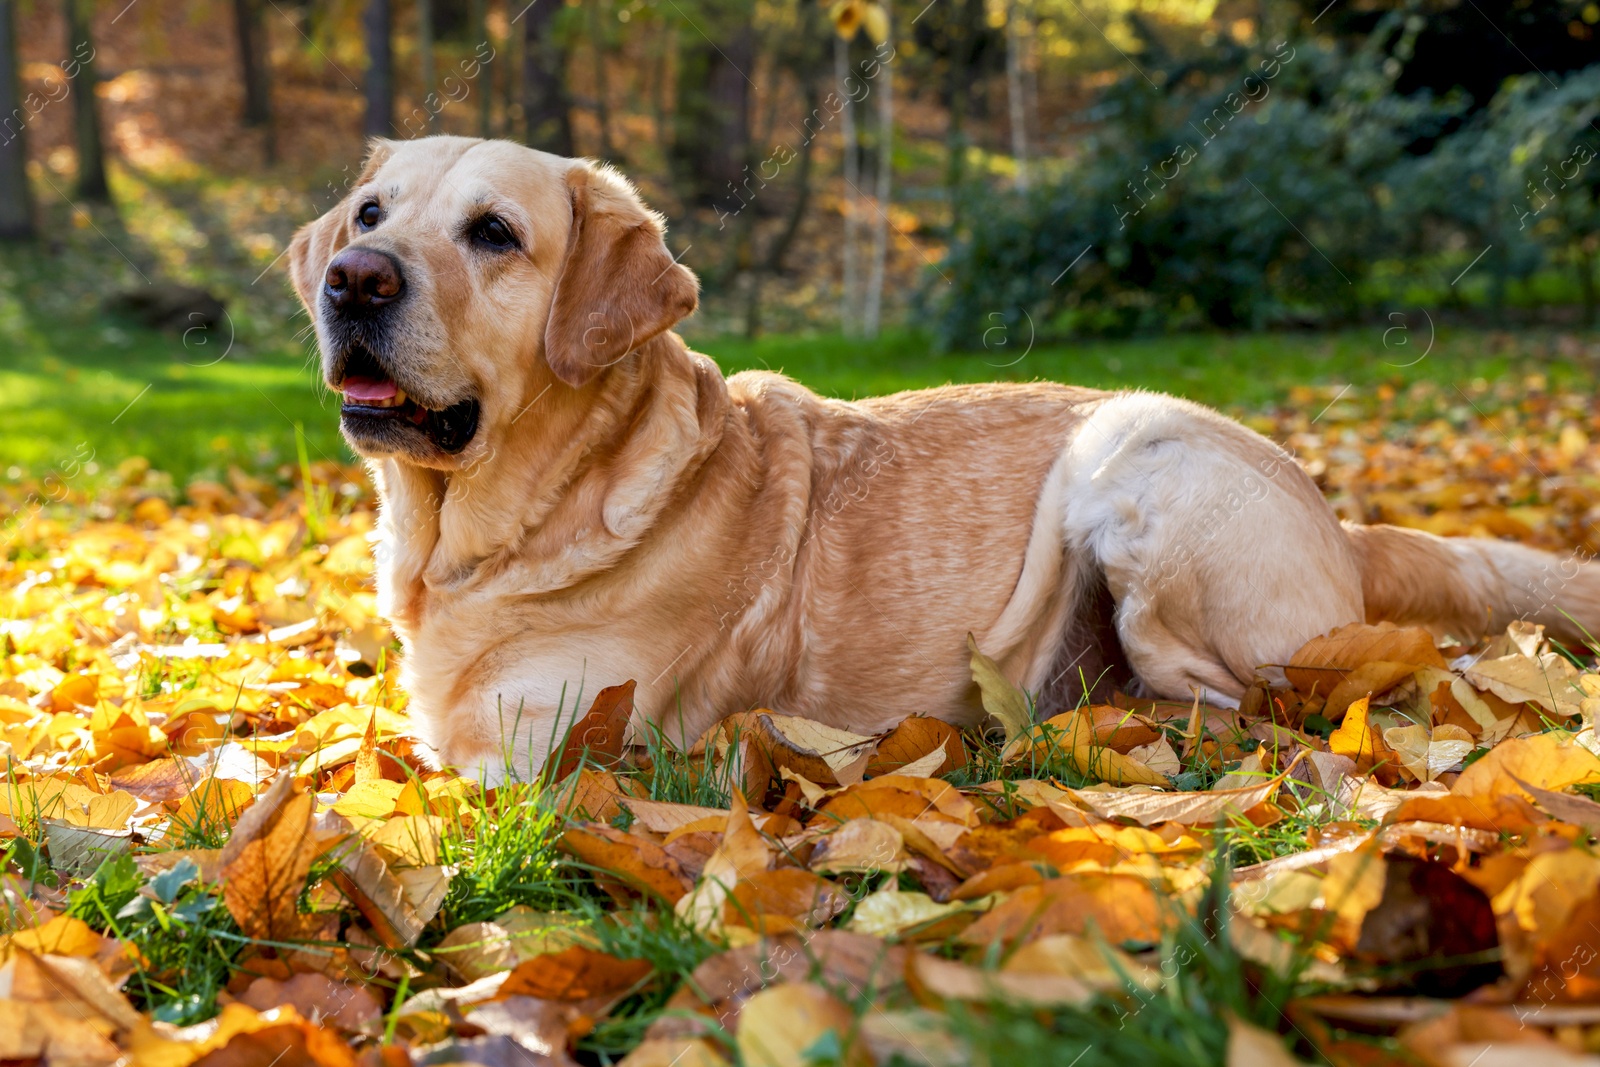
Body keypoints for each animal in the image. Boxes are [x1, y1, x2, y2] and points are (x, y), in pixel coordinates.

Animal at [291, 137, 1600, 780]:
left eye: (494, 234)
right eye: (370, 213)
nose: (352, 279)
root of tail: (1338, 518)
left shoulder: (544, 748)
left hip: (1133, 459)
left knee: (1250, 709)